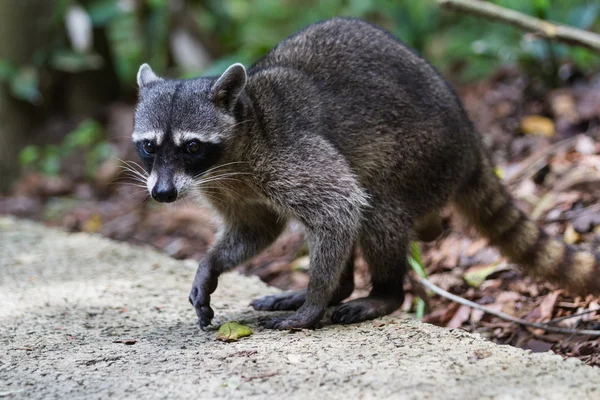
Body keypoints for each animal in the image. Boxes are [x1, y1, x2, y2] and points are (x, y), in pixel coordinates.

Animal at [134, 17, 596, 330]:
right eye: (149, 146)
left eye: (192, 147)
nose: (162, 195)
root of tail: (471, 140)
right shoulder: (228, 188)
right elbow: (256, 229)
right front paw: (210, 264)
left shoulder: (287, 152)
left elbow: (337, 204)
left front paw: (316, 301)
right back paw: (338, 288)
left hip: (421, 156)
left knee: (374, 207)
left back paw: (378, 293)